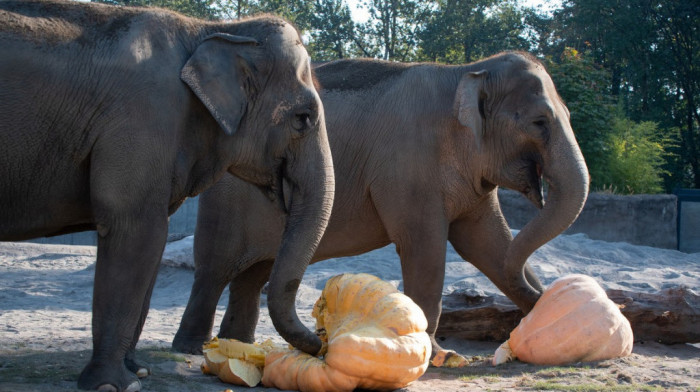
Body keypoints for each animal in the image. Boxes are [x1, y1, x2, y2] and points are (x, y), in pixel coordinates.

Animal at [0, 1, 334, 390]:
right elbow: (137, 229)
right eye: (303, 118)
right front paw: (116, 384)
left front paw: (137, 370)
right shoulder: (142, 118)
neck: (209, 30)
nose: (321, 341)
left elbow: (154, 243)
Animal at [172, 51, 588, 362]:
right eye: (539, 122)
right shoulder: (408, 166)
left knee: (253, 276)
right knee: (214, 270)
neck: (467, 72)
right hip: (227, 199)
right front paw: (442, 356)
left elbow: (488, 244)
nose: (549, 294)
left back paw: (240, 346)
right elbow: (425, 249)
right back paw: (192, 348)